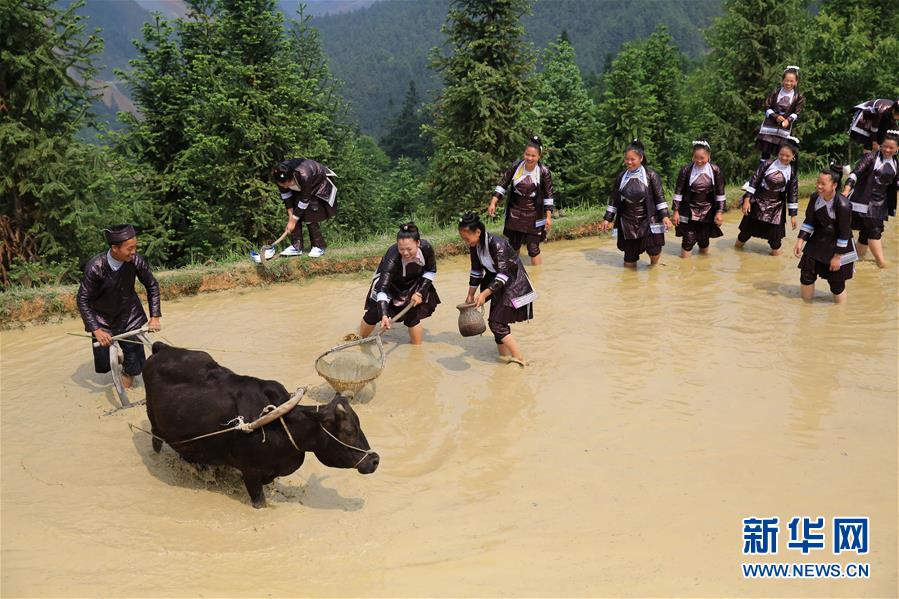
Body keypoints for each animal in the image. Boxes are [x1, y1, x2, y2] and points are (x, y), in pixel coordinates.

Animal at [142, 344, 380, 508]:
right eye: (348, 431)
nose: (375, 460)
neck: (280, 425)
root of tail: (161, 348)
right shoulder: (252, 473)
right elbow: (260, 502)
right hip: (155, 427)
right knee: (155, 443)